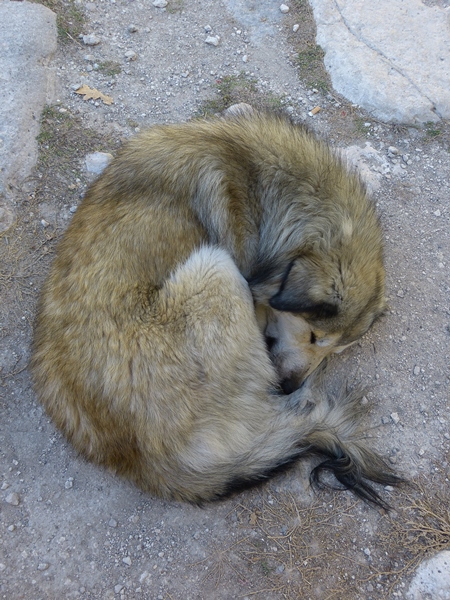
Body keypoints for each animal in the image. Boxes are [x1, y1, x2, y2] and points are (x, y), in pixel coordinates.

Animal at [32, 108, 404, 506]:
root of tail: (148, 463)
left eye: (333, 350)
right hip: (214, 266)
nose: (289, 386)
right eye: (313, 335)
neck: (261, 181)